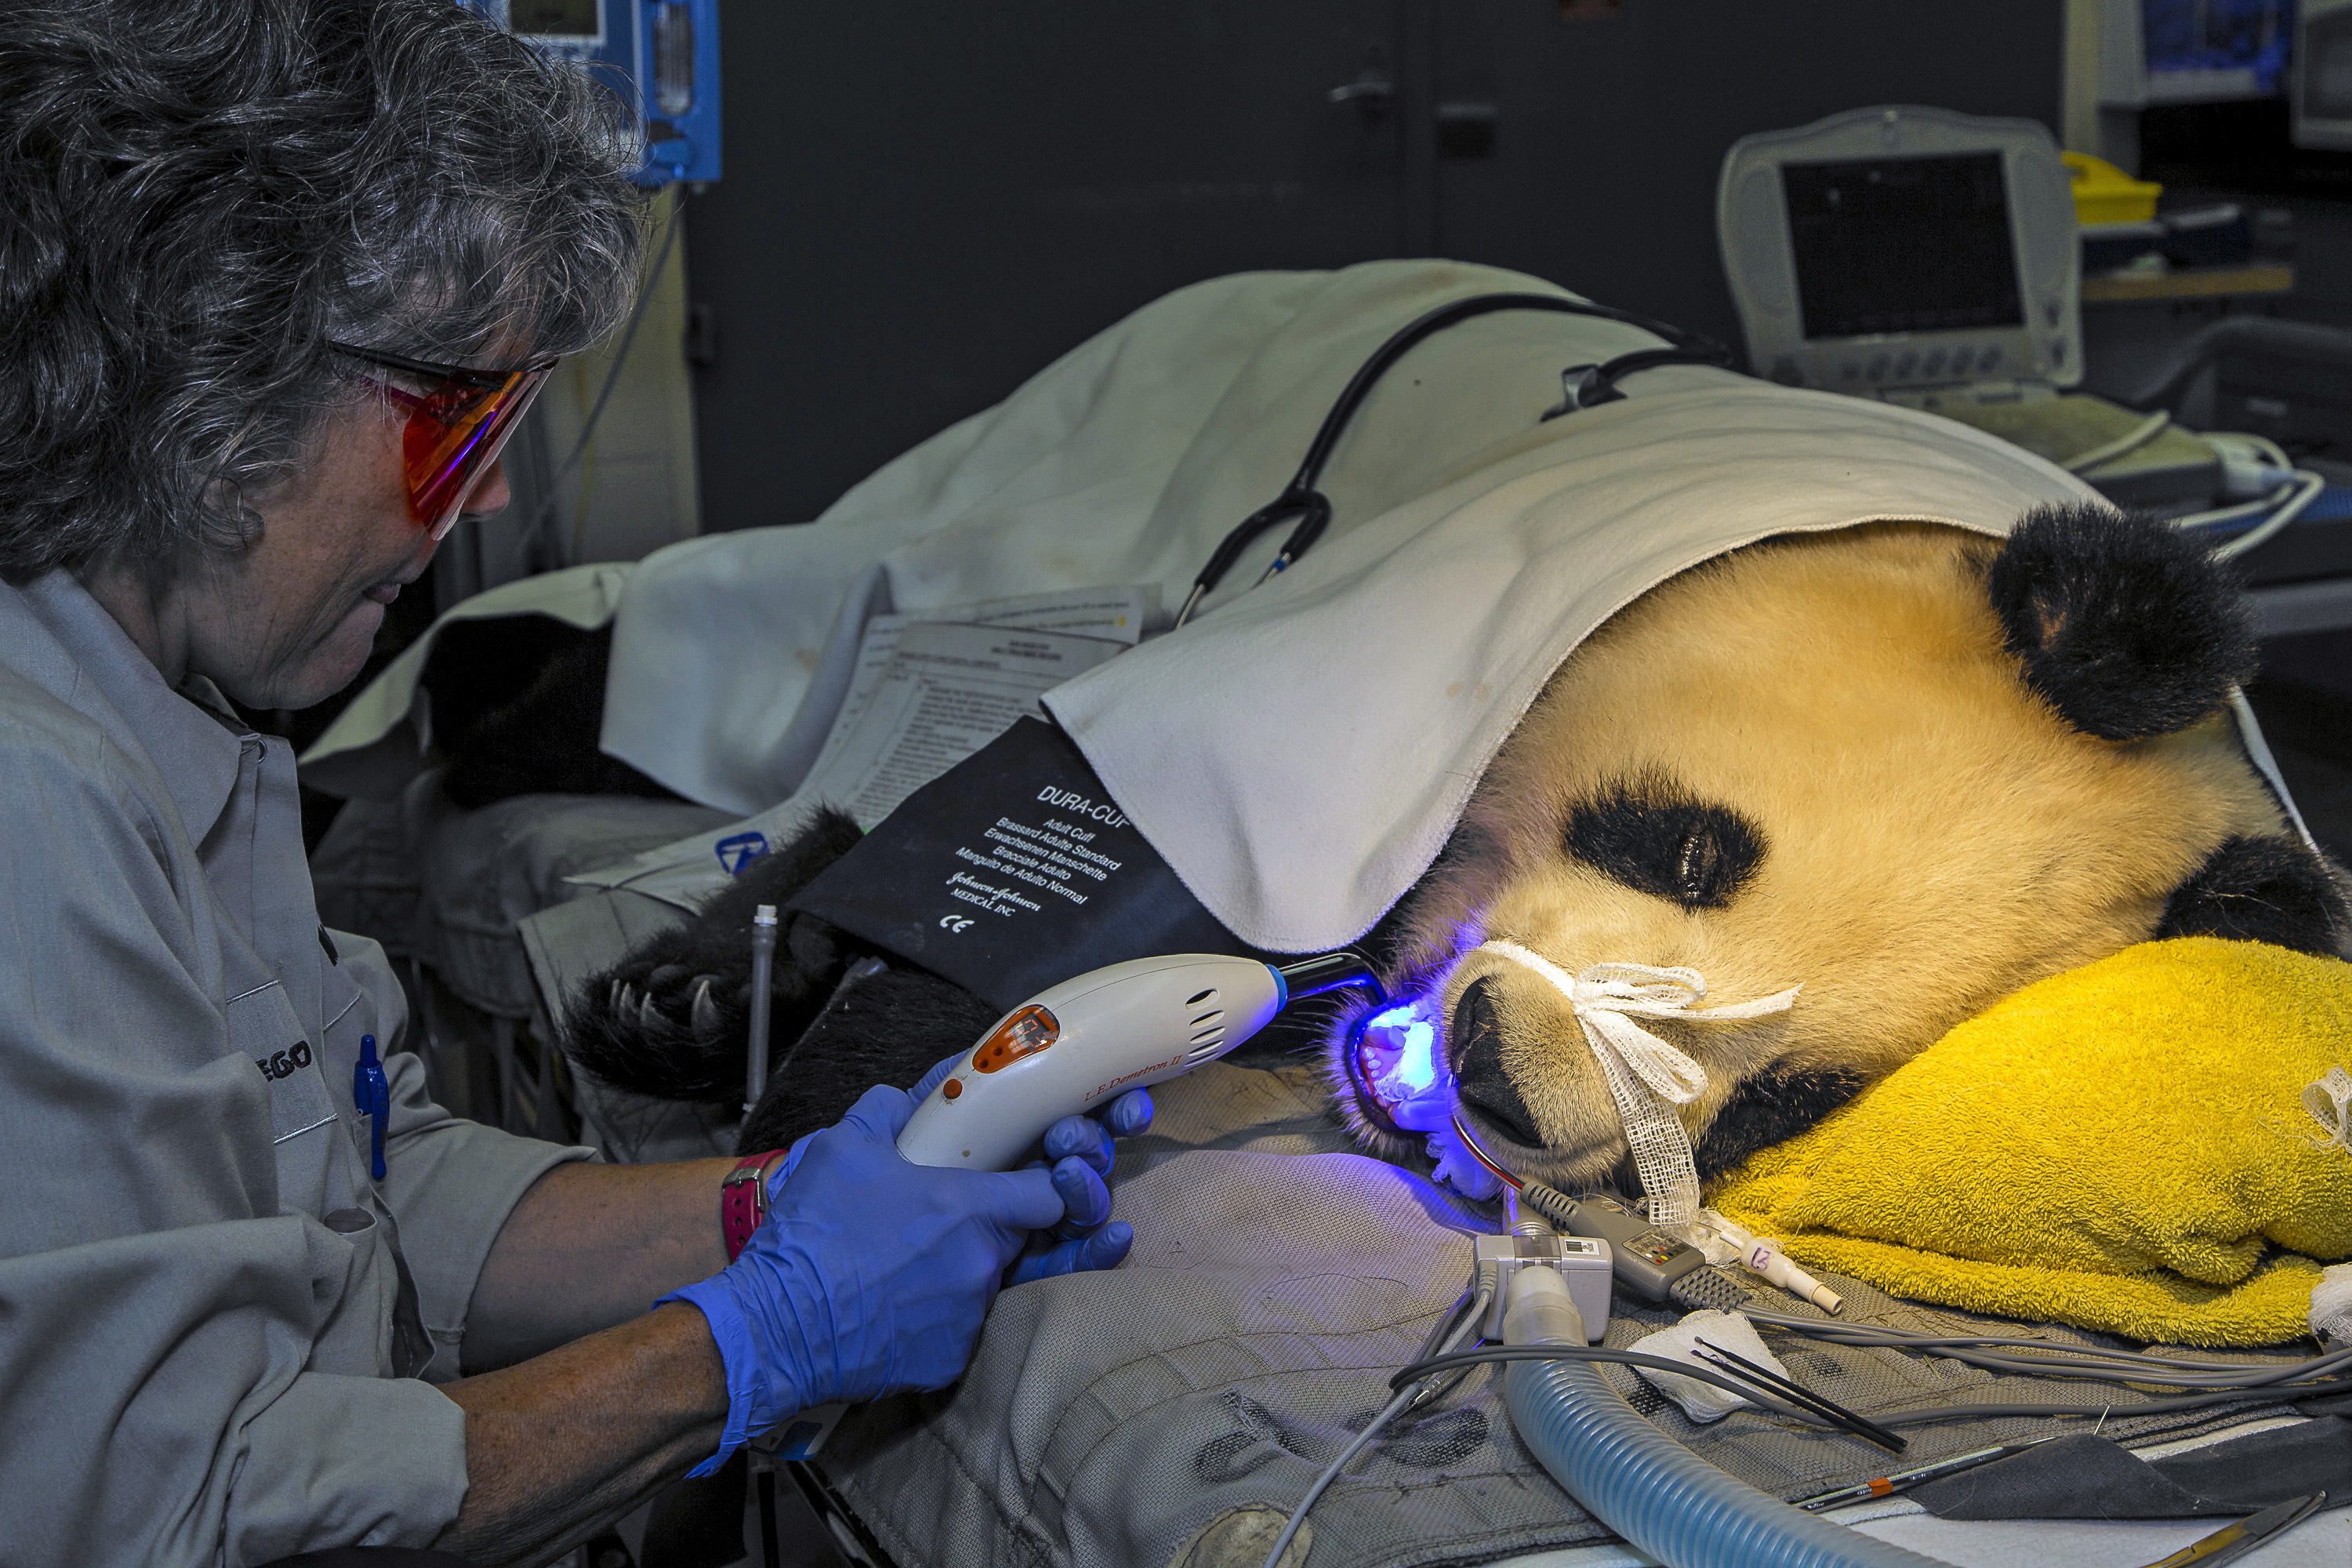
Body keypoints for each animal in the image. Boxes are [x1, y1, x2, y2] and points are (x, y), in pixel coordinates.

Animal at [555, 503, 2352, 1189]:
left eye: (1788, 1095)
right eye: (1689, 851)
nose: (1491, 1075)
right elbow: (1075, 859)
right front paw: (832, 1113)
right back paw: (694, 992)